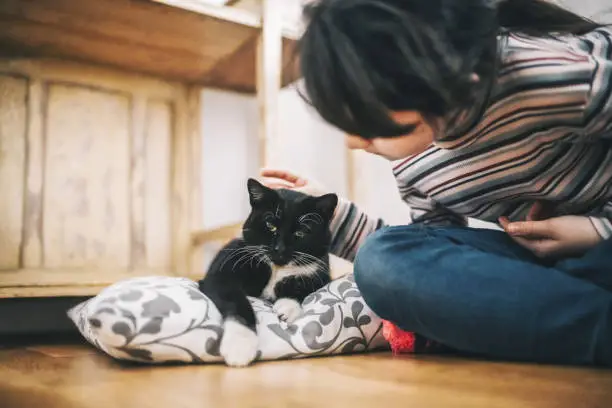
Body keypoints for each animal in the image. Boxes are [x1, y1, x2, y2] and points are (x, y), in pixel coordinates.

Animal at [198, 178, 338, 366]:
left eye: (300, 232)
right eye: (270, 225)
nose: (279, 249)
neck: (277, 268)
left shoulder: (321, 272)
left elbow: (303, 287)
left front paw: (287, 308)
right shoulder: (221, 274)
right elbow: (237, 302)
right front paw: (239, 346)